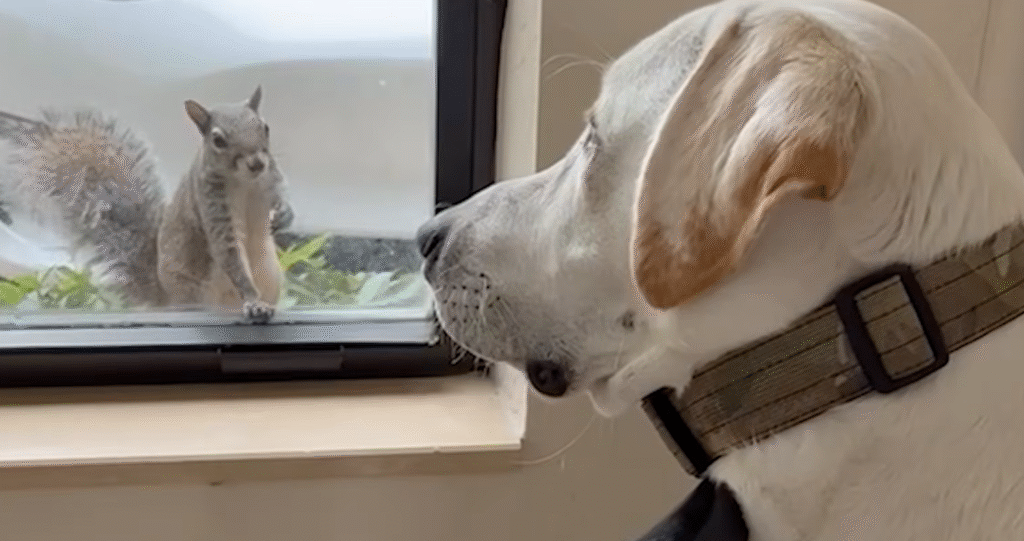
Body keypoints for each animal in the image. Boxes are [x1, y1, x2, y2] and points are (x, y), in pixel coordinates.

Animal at [0, 87, 293, 322]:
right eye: (218, 140)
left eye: (265, 127)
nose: (256, 163)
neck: (246, 182)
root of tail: (166, 299)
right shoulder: (210, 203)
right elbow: (230, 255)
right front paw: (253, 302)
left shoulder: (271, 179)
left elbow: (281, 198)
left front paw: (284, 215)